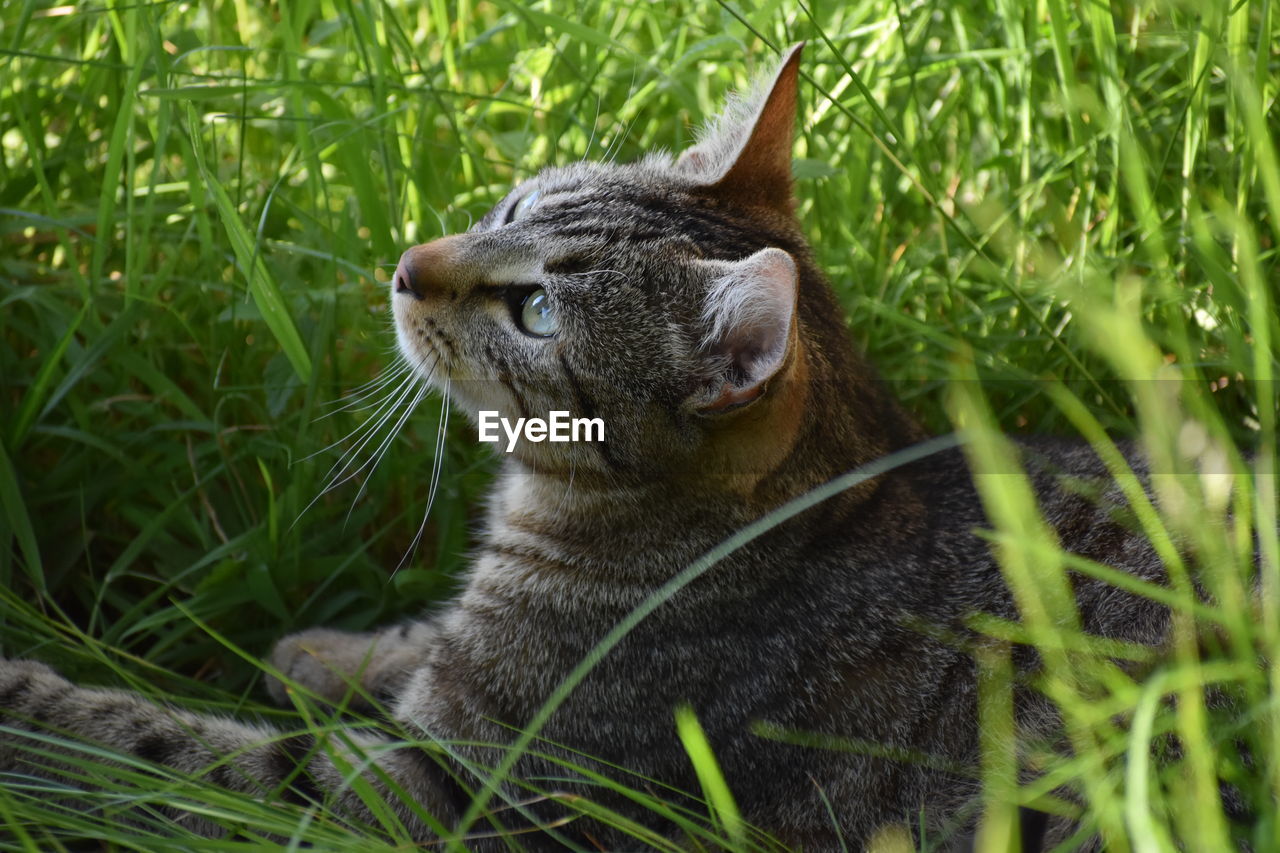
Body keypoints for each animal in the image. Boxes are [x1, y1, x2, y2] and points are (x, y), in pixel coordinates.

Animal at [0, 44, 1177, 845]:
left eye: (536, 314)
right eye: (511, 205)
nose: (406, 266)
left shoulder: (436, 791)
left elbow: (161, 752)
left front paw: (28, 702)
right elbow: (422, 644)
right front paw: (328, 652)